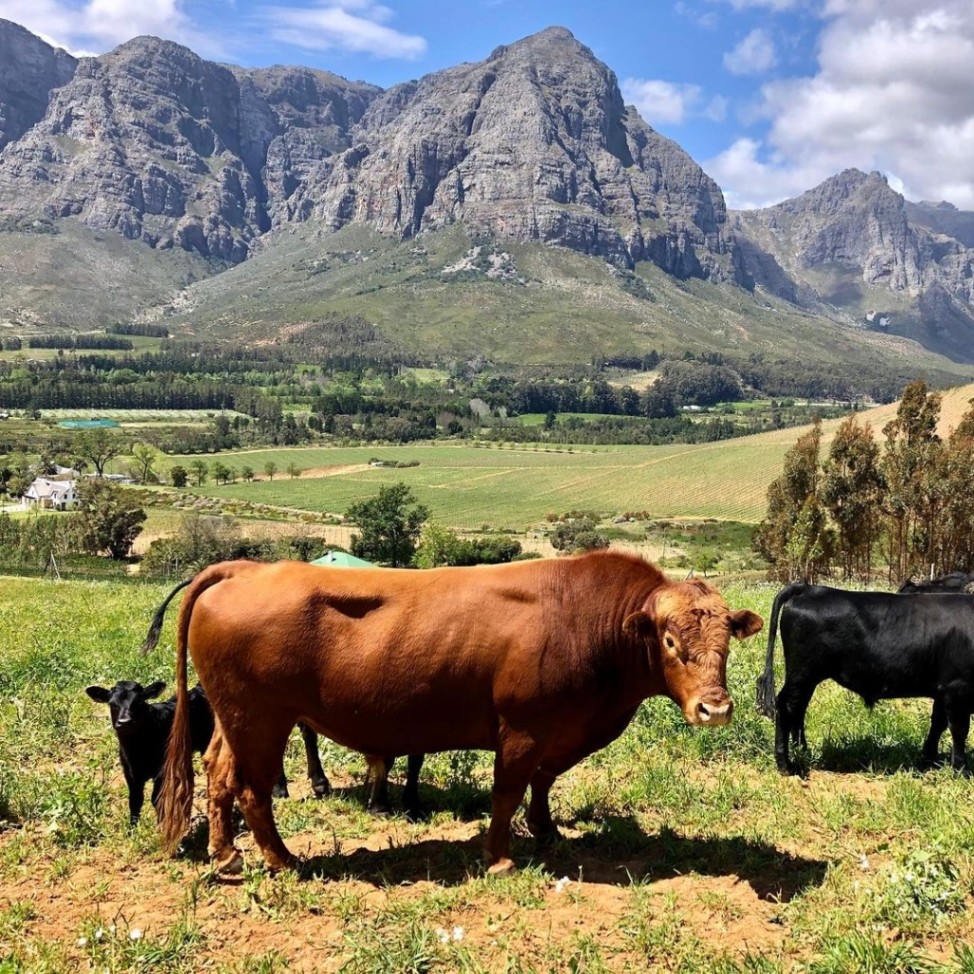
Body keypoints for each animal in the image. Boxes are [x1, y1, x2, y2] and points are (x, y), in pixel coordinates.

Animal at [151, 556, 764, 876]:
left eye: (727, 643)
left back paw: (225, 854)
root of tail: (246, 567)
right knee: (252, 788)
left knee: (218, 772)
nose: (715, 707)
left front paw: (546, 832)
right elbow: (507, 792)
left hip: (235, 717)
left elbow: (542, 784)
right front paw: (500, 859)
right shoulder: (522, 728)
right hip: (261, 719)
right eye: (669, 641)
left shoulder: (559, 732)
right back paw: (281, 860)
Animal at [760, 588, 974, 776]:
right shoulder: (957, 688)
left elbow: (938, 724)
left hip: (806, 678)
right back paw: (786, 765)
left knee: (798, 710)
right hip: (802, 673)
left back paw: (802, 751)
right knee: (786, 707)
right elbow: (959, 730)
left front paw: (928, 760)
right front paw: (961, 771)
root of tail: (808, 588)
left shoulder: (943, 690)